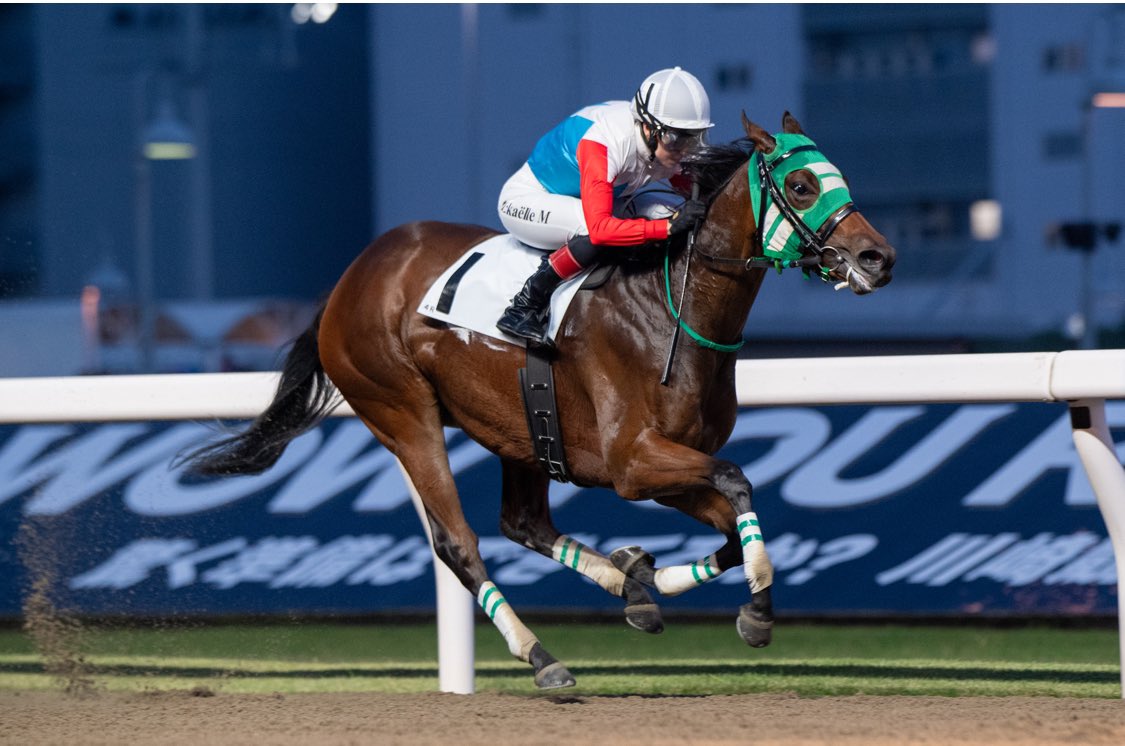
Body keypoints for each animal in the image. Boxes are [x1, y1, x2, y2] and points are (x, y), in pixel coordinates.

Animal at [186, 112, 895, 689]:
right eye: (801, 186)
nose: (878, 257)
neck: (669, 308)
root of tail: (350, 279)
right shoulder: (632, 462)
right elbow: (738, 479)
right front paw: (754, 610)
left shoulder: (658, 466)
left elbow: (728, 521)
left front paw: (653, 578)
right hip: (402, 412)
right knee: (458, 542)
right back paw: (542, 656)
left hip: (520, 430)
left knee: (522, 522)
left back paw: (626, 581)